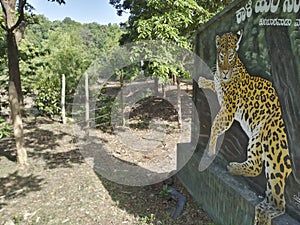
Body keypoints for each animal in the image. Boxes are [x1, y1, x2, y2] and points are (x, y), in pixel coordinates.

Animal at [198, 30, 292, 224]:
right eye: (221, 55)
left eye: (231, 55)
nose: (225, 73)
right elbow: (213, 83)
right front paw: (204, 80)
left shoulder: (228, 110)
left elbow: (215, 125)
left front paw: (210, 149)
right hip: (257, 139)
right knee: (256, 165)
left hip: (266, 138)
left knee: (272, 188)